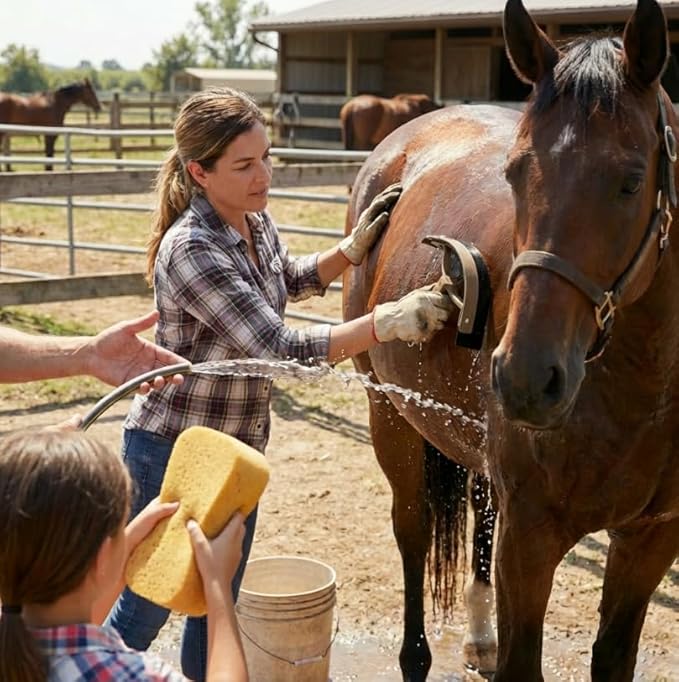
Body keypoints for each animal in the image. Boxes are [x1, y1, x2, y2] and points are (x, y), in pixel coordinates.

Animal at [343, 0, 679, 679]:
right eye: (515, 173)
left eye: (632, 181)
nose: (526, 377)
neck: (643, 387)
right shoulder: (529, 540)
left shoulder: (651, 540)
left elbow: (613, 655)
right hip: (390, 419)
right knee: (413, 533)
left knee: (478, 510)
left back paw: (478, 635)